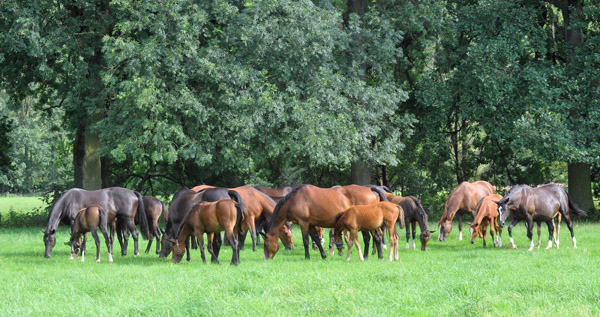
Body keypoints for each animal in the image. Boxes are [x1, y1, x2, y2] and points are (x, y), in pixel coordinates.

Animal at [262, 183, 390, 260]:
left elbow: (306, 241)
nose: (265, 258)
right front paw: (323, 255)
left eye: (266, 244)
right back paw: (368, 256)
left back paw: (377, 255)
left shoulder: (304, 223)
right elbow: (317, 240)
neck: (295, 199)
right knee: (369, 238)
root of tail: (370, 190)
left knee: (376, 237)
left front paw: (307, 257)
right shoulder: (311, 225)